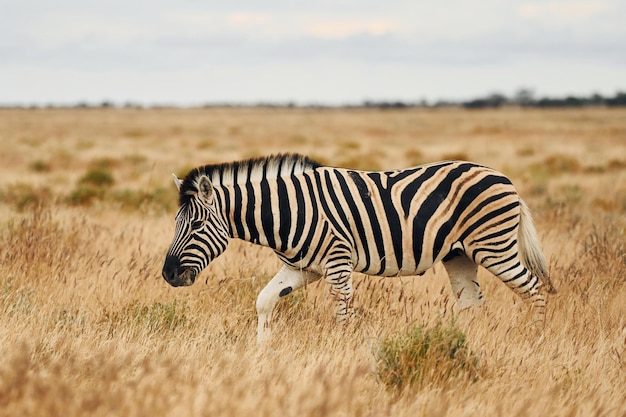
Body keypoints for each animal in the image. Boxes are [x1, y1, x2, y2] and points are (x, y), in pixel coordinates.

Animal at [161, 153, 552, 342]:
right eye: (176, 224)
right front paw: (262, 350)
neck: (287, 210)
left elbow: (342, 313)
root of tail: (504, 178)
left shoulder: (337, 262)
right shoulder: (302, 268)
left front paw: (341, 353)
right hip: (459, 255)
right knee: (472, 303)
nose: (168, 275)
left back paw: (536, 338)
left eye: (195, 226)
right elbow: (264, 301)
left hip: (493, 247)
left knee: (535, 289)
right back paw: (463, 343)